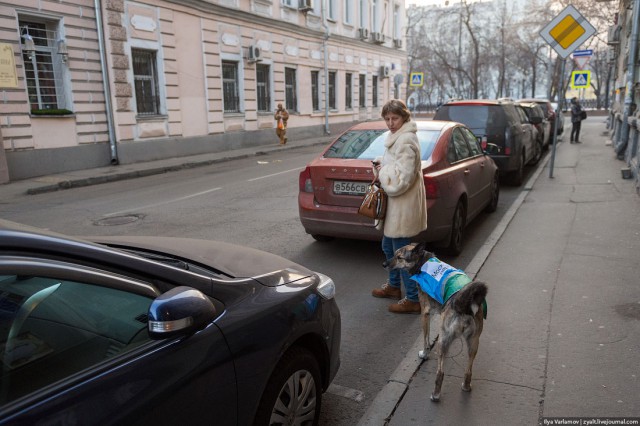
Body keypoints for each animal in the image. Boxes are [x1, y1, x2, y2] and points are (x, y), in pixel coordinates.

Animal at [382, 241, 488, 402]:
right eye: (394, 254)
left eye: (399, 257)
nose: (384, 264)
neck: (422, 262)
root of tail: (464, 305)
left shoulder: (425, 313)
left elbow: (426, 339)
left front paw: (424, 354)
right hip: (473, 343)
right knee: (468, 370)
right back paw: (466, 386)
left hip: (443, 338)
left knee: (440, 373)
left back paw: (436, 394)